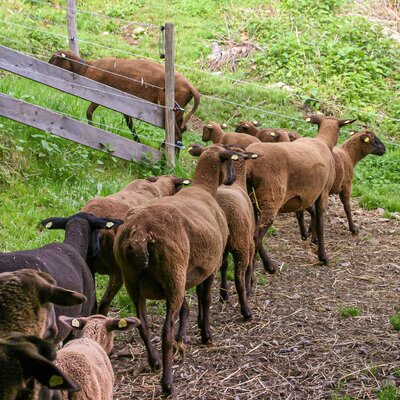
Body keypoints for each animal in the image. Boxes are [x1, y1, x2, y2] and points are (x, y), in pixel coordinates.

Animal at [48, 50, 200, 143]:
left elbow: (89, 113)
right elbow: (129, 123)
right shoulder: (124, 104)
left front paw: (92, 129)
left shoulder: (97, 94)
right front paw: (136, 140)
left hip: (171, 108)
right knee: (181, 130)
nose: (46, 66)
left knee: (176, 134)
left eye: (55, 59)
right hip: (180, 110)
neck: (85, 68)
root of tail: (191, 87)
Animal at [113, 144, 254, 395]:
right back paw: (167, 383)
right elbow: (205, 299)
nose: (231, 179)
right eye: (230, 160)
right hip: (173, 275)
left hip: (134, 282)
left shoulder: (195, 270)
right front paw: (206, 335)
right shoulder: (210, 266)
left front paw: (188, 333)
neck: (203, 189)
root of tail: (140, 234)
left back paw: (154, 362)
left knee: (143, 325)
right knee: (165, 333)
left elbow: (192, 301)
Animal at [246, 114, 356, 272]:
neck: (324, 142)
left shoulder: (308, 194)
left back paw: (260, 266)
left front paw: (309, 237)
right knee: (257, 236)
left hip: (252, 198)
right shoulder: (323, 192)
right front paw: (323, 257)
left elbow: (308, 215)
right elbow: (320, 224)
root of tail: (250, 166)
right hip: (271, 197)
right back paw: (264, 267)